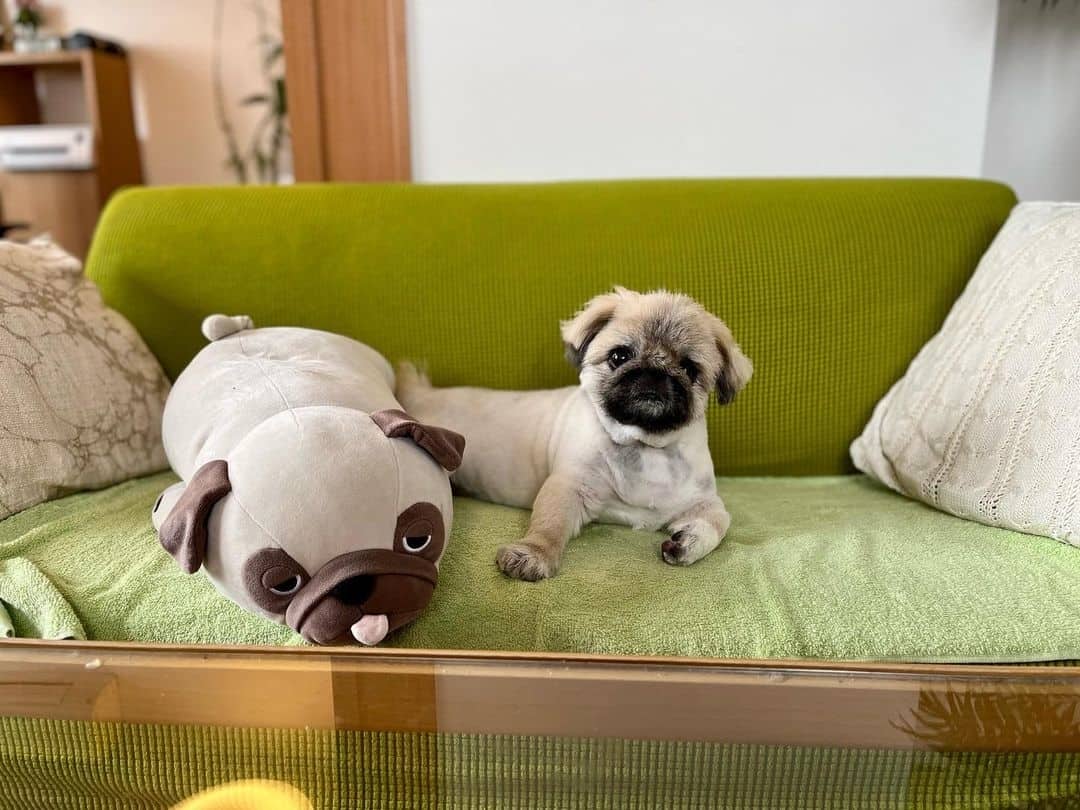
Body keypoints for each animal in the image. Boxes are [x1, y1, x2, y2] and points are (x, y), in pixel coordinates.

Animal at [397, 289, 751, 578]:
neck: (643, 445)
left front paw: (686, 544)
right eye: (619, 356)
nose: (654, 373)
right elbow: (550, 525)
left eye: (690, 370)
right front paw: (533, 556)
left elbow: (719, 523)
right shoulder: (569, 487)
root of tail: (421, 394)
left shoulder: (704, 501)